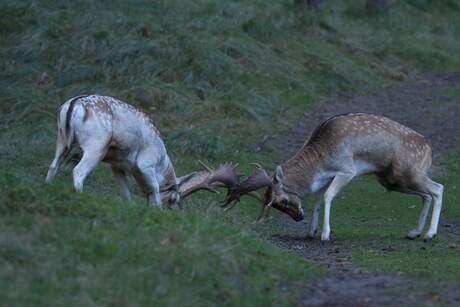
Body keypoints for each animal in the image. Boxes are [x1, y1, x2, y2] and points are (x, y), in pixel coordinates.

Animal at [45, 95, 237, 208]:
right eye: (174, 199)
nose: (175, 212)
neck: (162, 161)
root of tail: (73, 105)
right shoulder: (146, 164)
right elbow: (155, 188)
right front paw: (157, 208)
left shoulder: (117, 165)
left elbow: (126, 193)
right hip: (96, 145)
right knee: (78, 171)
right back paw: (80, 196)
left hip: (62, 140)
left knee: (54, 165)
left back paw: (48, 185)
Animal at [221, 113, 444, 243]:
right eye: (273, 205)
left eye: (282, 201)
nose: (298, 217)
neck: (322, 162)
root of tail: (430, 149)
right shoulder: (327, 176)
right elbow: (318, 198)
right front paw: (310, 231)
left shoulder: (347, 170)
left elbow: (328, 196)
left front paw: (325, 234)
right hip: (391, 179)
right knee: (426, 195)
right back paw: (414, 232)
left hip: (407, 172)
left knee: (438, 188)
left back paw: (429, 235)